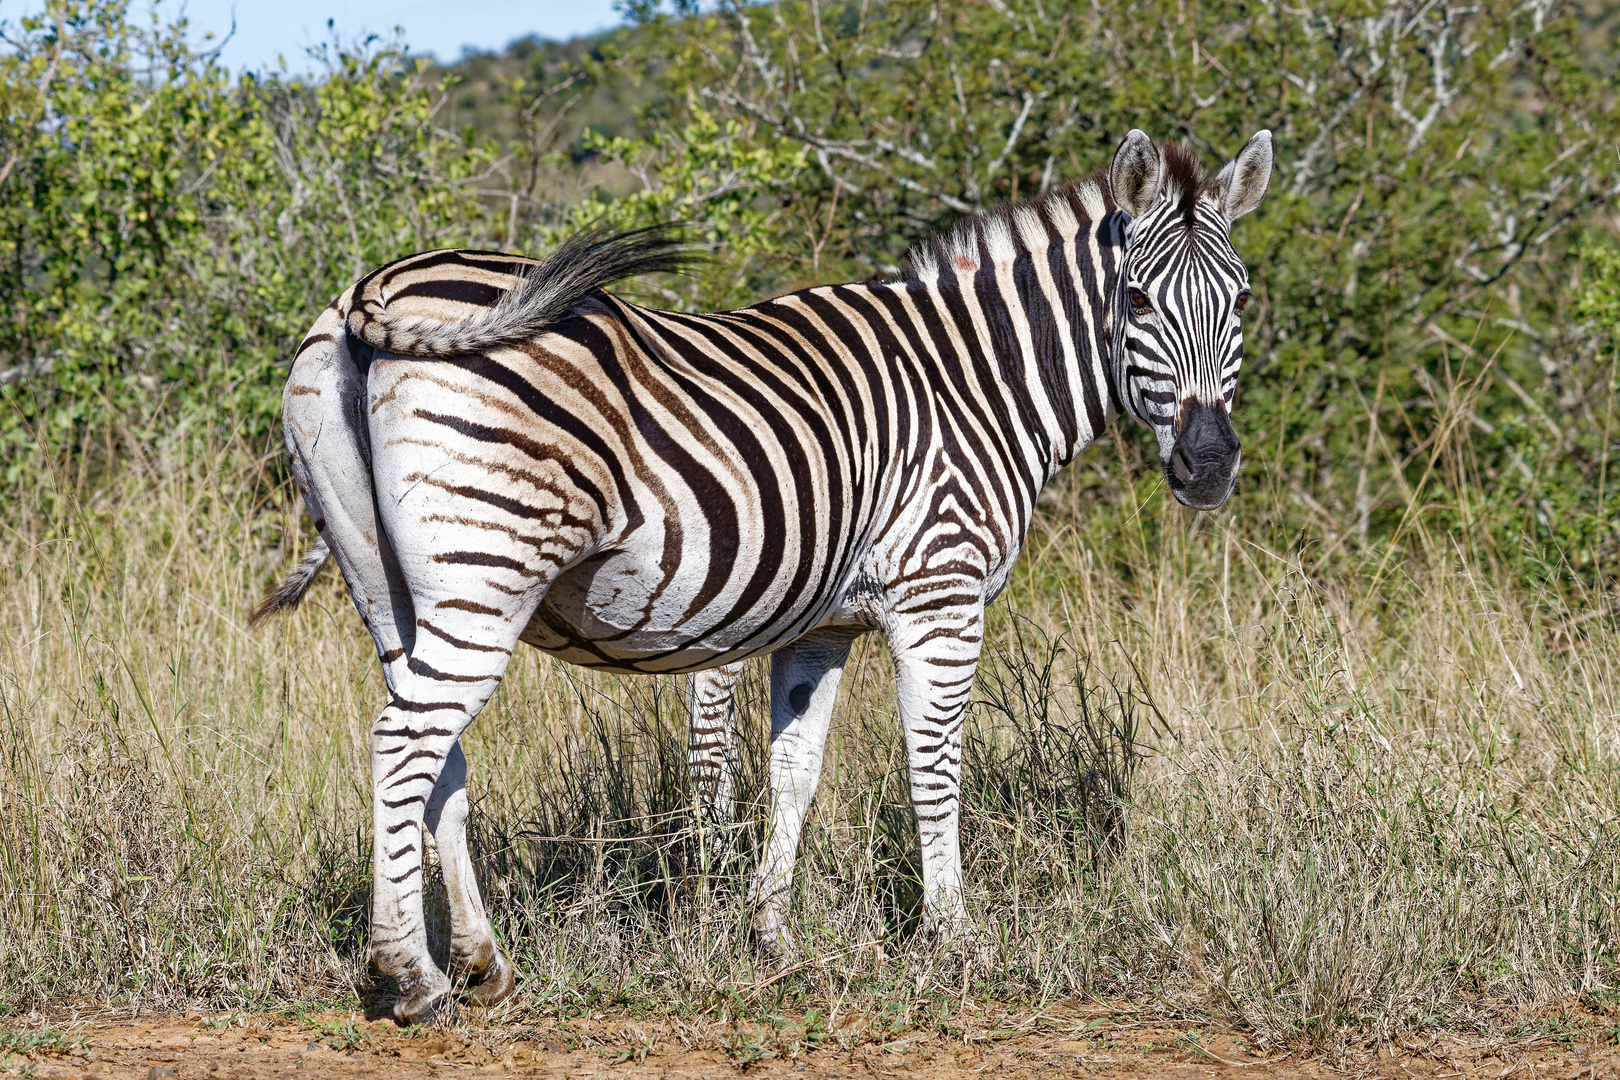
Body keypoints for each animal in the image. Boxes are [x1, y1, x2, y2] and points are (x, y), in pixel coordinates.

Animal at [254, 128, 1272, 1024]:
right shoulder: (938, 593)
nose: (1209, 466)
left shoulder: (822, 623)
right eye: (1136, 300)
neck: (977, 381)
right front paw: (954, 939)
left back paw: (479, 963)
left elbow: (794, 772)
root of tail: (373, 288)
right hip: (486, 569)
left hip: (389, 582)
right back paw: (411, 981)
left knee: (435, 753)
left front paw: (768, 935)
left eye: (1242, 300)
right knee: (403, 743)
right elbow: (933, 763)